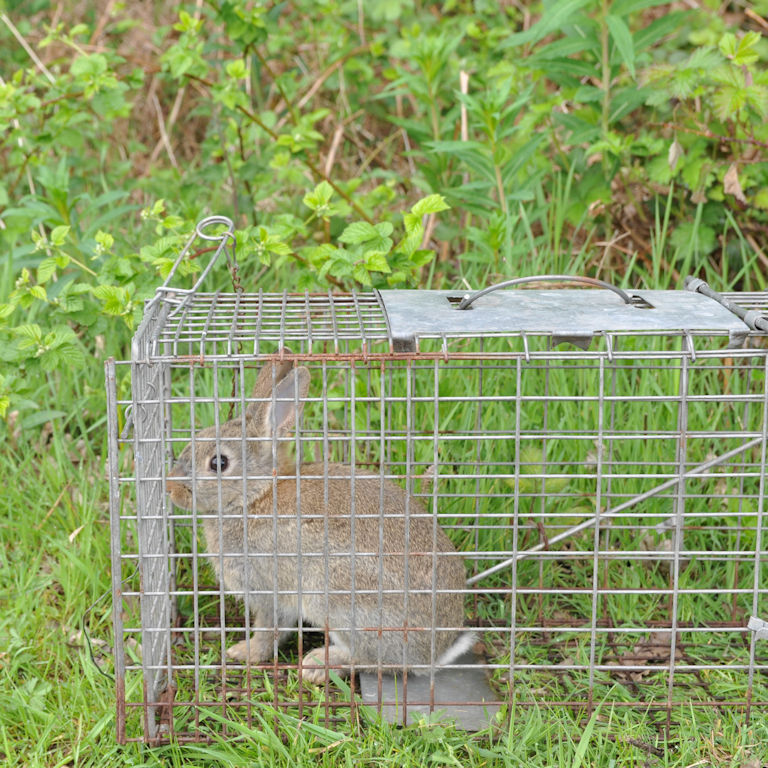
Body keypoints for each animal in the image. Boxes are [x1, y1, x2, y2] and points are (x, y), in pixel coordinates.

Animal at [167, 358, 472, 683]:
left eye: (218, 463)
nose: (170, 487)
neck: (254, 497)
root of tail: (434, 652)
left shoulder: (269, 589)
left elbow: (269, 629)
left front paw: (243, 652)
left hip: (337, 598)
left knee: (378, 662)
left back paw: (319, 663)